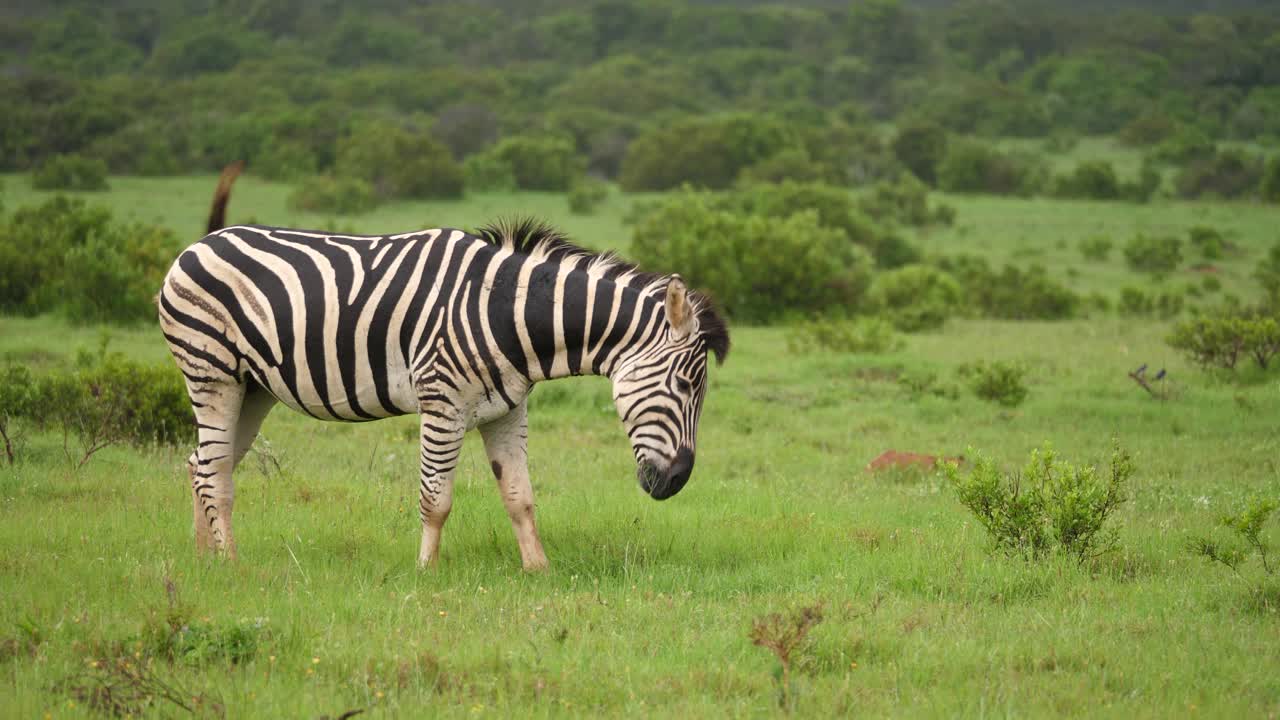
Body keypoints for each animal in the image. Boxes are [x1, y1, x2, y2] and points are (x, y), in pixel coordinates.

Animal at [158, 167, 729, 570]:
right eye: (685, 385)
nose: (677, 482)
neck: (506, 312)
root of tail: (203, 240)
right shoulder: (442, 402)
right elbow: (436, 499)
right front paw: (426, 572)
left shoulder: (508, 410)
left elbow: (521, 497)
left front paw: (539, 570)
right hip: (211, 371)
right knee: (213, 471)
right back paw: (233, 566)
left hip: (254, 387)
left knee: (201, 463)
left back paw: (204, 561)